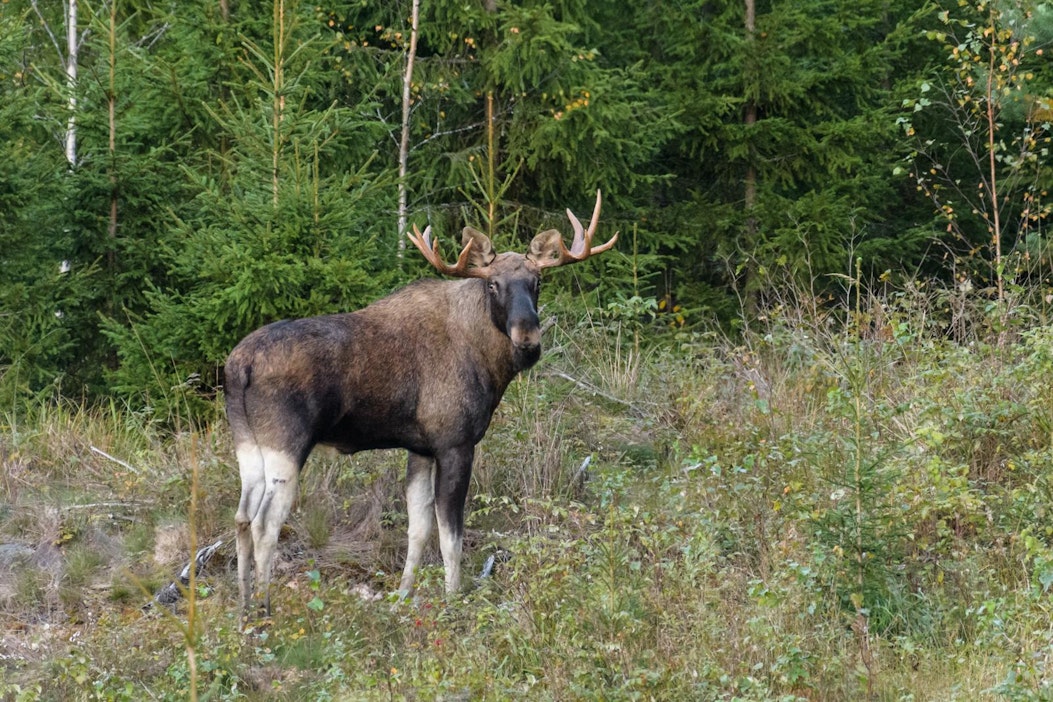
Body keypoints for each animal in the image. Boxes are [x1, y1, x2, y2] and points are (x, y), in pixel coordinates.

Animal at [224, 189, 614, 618]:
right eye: (493, 285)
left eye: (538, 282)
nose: (527, 340)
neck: (489, 363)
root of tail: (238, 367)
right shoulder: (455, 443)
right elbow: (450, 534)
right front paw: (453, 598)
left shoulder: (421, 448)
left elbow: (418, 527)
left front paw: (403, 595)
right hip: (286, 443)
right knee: (265, 523)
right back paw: (264, 608)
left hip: (248, 445)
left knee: (241, 517)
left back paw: (243, 607)